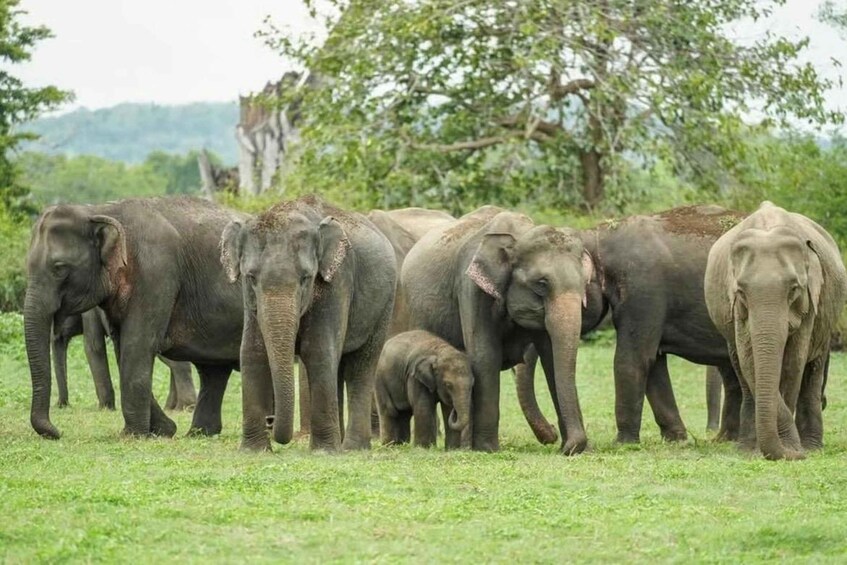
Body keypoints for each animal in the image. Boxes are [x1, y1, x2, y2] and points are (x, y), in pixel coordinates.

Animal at [51, 308, 197, 411]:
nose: (61, 405)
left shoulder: (89, 313)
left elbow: (92, 347)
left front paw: (105, 408)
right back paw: (171, 407)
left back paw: (185, 407)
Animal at [220, 194, 396, 451]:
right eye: (251, 277)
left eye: (306, 278)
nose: (270, 419)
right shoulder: (248, 298)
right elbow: (252, 351)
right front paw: (254, 451)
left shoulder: (337, 281)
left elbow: (318, 351)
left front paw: (324, 452)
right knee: (339, 366)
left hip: (384, 306)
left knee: (361, 365)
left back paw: (352, 447)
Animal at [402, 206, 593, 454]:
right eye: (541, 284)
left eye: (584, 284)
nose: (561, 443)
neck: (519, 234)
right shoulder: (471, 288)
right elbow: (485, 356)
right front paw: (487, 449)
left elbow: (551, 357)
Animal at [704, 201, 847, 460]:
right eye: (741, 292)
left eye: (793, 289)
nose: (797, 455)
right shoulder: (737, 310)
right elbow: (748, 358)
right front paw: (765, 451)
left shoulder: (809, 303)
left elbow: (793, 362)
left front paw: (793, 448)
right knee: (742, 371)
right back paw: (747, 448)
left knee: (812, 373)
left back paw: (812, 446)